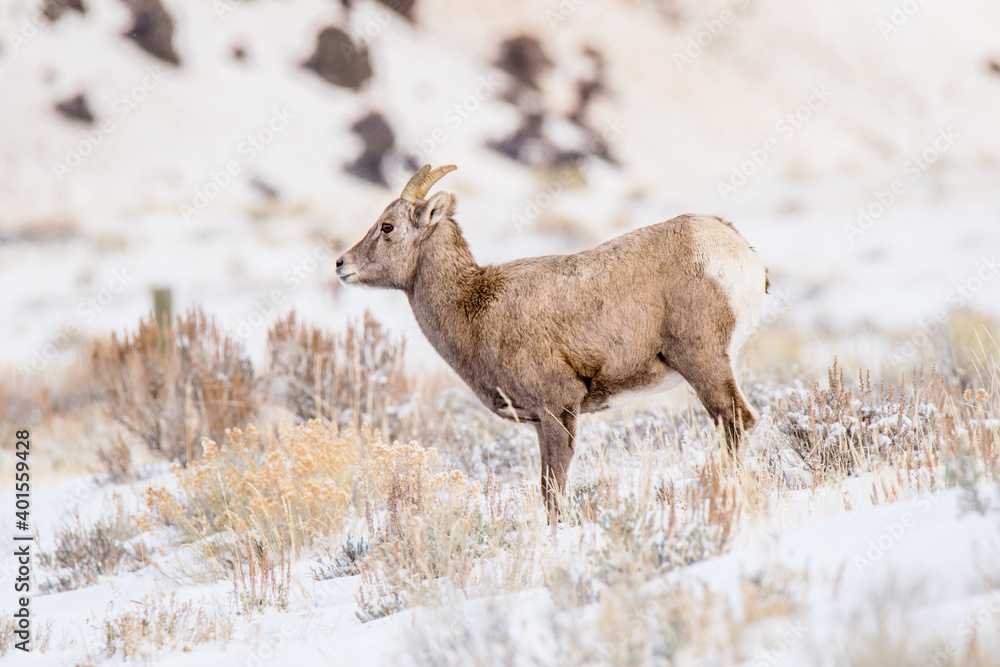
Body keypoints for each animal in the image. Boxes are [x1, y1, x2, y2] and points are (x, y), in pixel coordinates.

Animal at [336, 164, 768, 518]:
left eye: (387, 227)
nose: (341, 264)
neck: (475, 307)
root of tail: (737, 249)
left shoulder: (558, 407)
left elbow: (553, 491)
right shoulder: (542, 422)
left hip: (702, 361)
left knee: (736, 422)